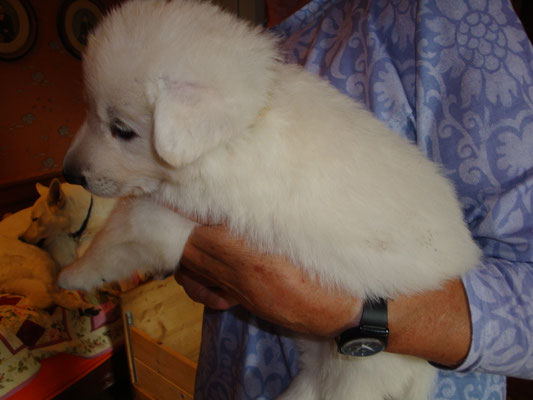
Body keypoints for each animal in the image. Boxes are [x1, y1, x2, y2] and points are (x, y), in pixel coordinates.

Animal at [58, 1, 481, 399]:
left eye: (122, 130)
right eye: (89, 110)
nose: (69, 174)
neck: (249, 120)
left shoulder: (175, 218)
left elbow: (119, 236)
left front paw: (72, 275)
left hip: (361, 365)